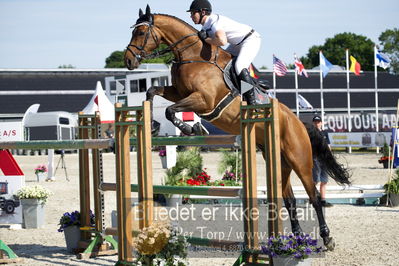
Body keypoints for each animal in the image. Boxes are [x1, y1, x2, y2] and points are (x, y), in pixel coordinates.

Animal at [124, 4, 350, 249]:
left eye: (140, 32)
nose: (128, 61)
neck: (191, 56)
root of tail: (299, 123)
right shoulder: (179, 92)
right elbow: (152, 92)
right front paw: (153, 125)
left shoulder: (204, 100)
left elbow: (170, 110)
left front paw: (191, 129)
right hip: (279, 162)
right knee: (289, 200)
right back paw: (296, 240)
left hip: (300, 160)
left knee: (314, 197)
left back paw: (327, 238)